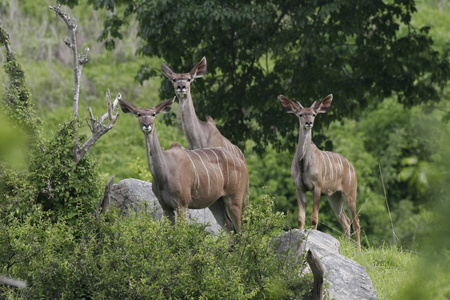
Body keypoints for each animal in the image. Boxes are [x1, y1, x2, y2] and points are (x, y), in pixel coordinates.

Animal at [118, 97, 248, 233]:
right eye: (139, 114)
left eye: (154, 114)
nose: (146, 125)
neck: (164, 172)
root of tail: (242, 162)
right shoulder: (166, 206)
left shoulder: (182, 204)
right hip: (216, 202)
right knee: (230, 227)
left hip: (235, 199)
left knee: (241, 230)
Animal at [280, 94, 360, 251]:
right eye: (300, 114)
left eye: (314, 114)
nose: (308, 123)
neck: (303, 164)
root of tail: (352, 166)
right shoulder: (299, 188)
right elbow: (300, 218)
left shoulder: (317, 187)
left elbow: (314, 218)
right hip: (334, 197)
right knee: (346, 221)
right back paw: (347, 246)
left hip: (349, 193)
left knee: (356, 221)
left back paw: (359, 251)